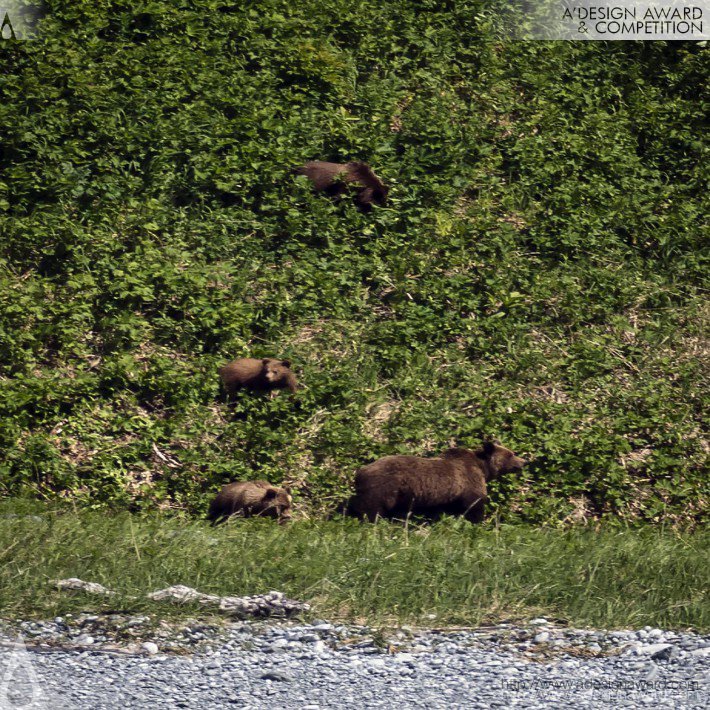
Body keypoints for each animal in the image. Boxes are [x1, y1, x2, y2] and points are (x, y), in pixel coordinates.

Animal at [348, 442, 524, 524]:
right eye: (511, 454)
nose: (524, 461)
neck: (483, 469)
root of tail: (360, 470)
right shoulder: (469, 482)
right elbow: (474, 504)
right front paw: (479, 521)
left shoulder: (447, 496)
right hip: (384, 487)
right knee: (371, 507)